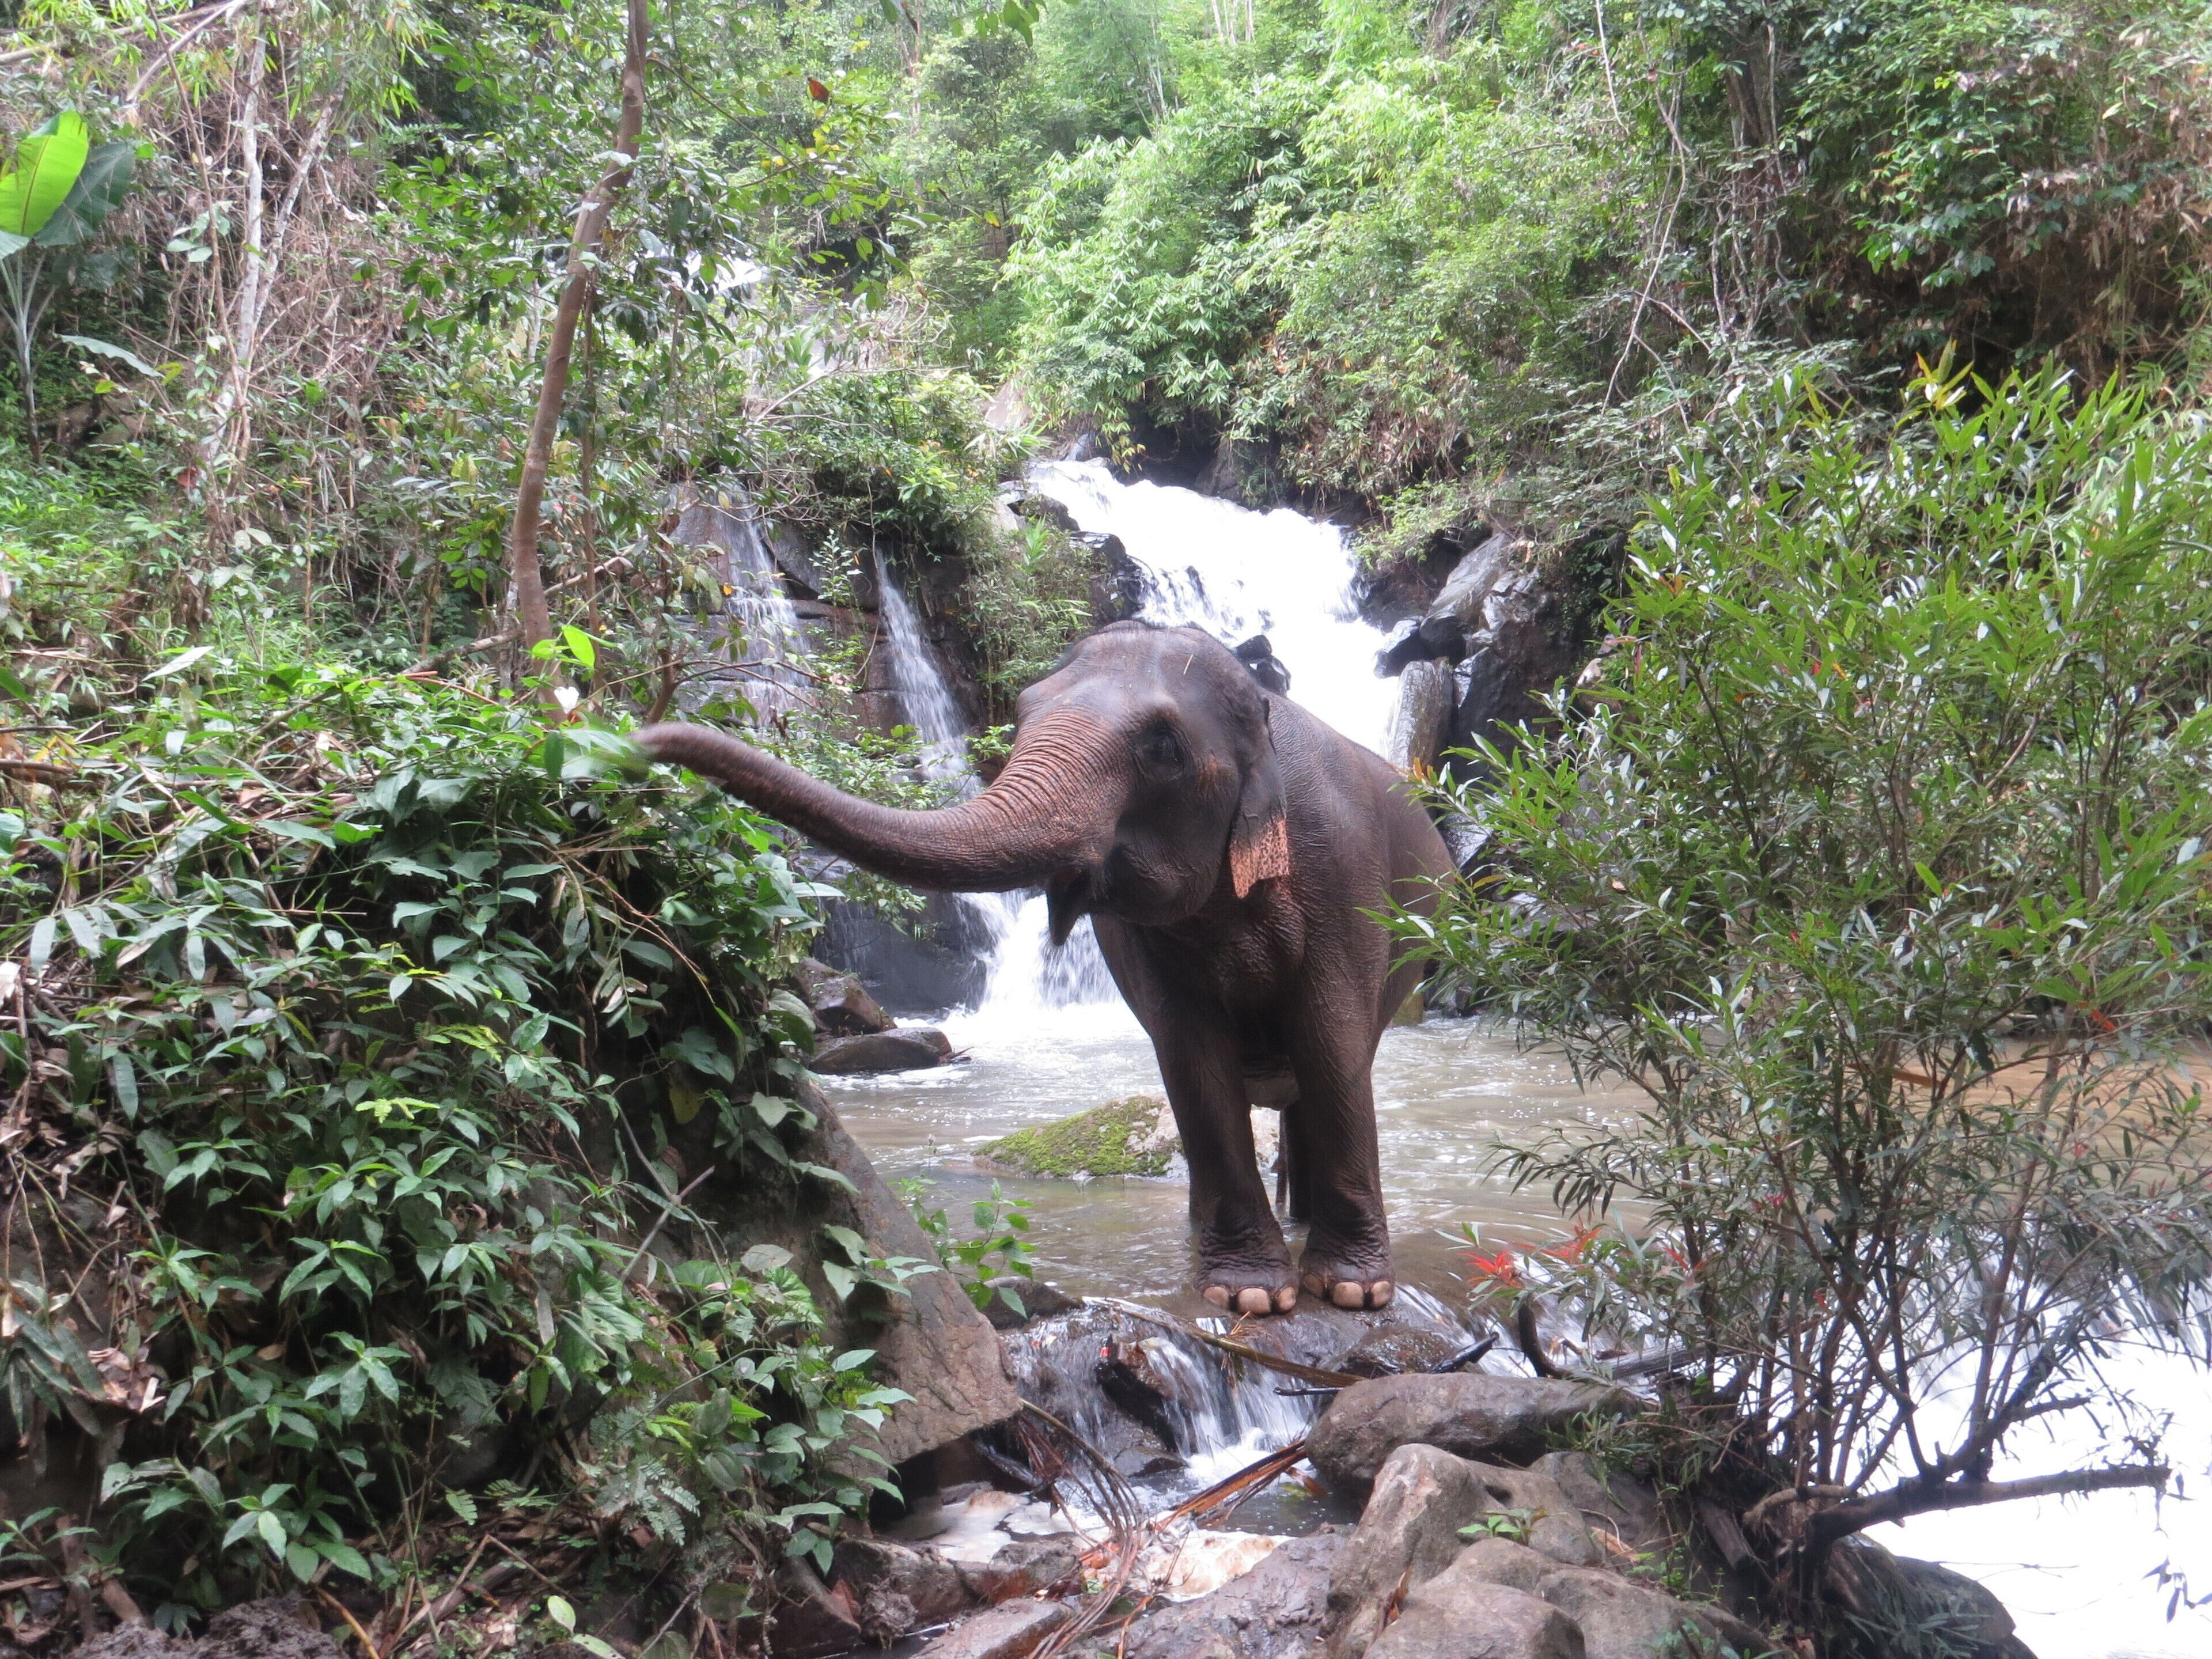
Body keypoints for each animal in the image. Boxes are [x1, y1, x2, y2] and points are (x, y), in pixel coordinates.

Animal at [637, 620, 1453, 1315]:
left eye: (1163, 747)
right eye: (1023, 712)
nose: (642, 740)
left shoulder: (1346, 876)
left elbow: (1330, 1039)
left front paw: (1352, 1292)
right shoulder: (1136, 939)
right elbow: (1192, 1057)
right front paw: (1248, 1295)